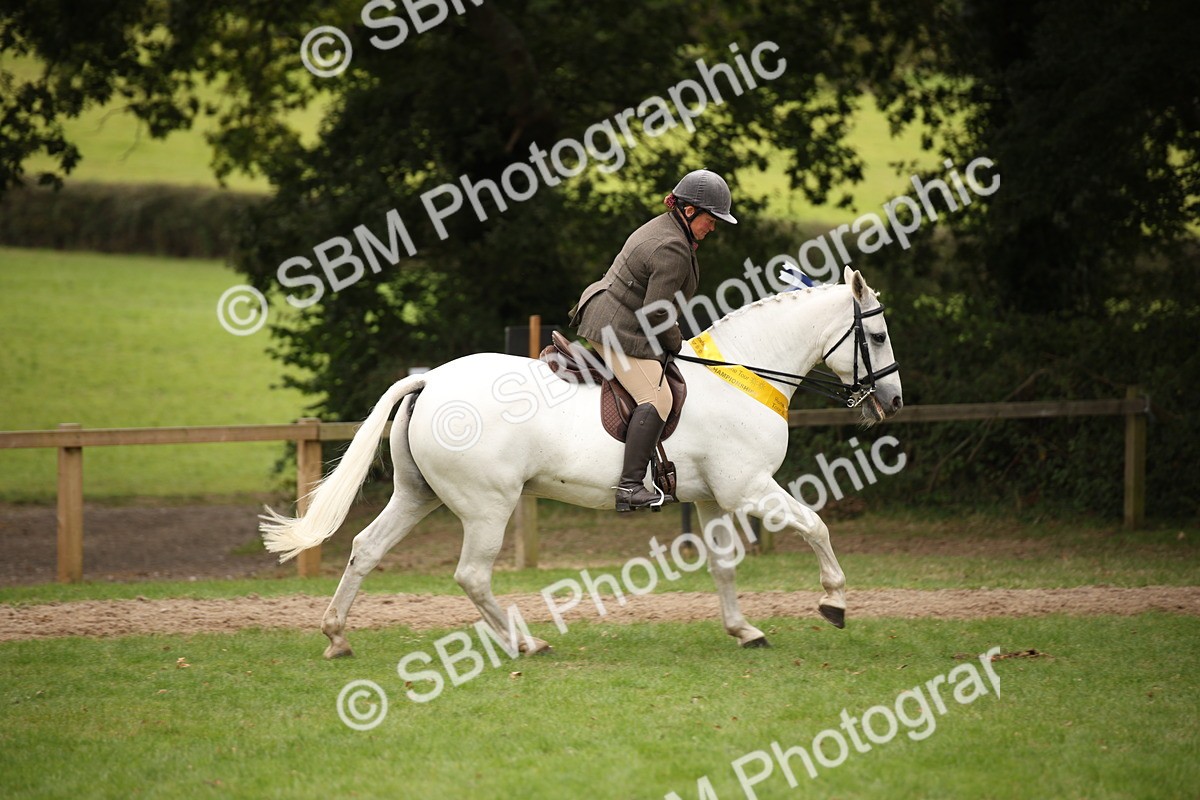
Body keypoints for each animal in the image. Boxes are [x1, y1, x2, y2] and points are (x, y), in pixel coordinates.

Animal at [261, 266, 903, 658]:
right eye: (876, 335)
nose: (893, 402)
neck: (744, 376)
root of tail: (430, 379)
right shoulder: (749, 487)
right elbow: (816, 527)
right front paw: (834, 602)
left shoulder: (715, 497)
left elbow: (724, 565)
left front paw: (744, 630)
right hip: (487, 505)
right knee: (472, 575)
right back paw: (527, 644)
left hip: (418, 495)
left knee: (365, 549)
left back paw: (337, 637)